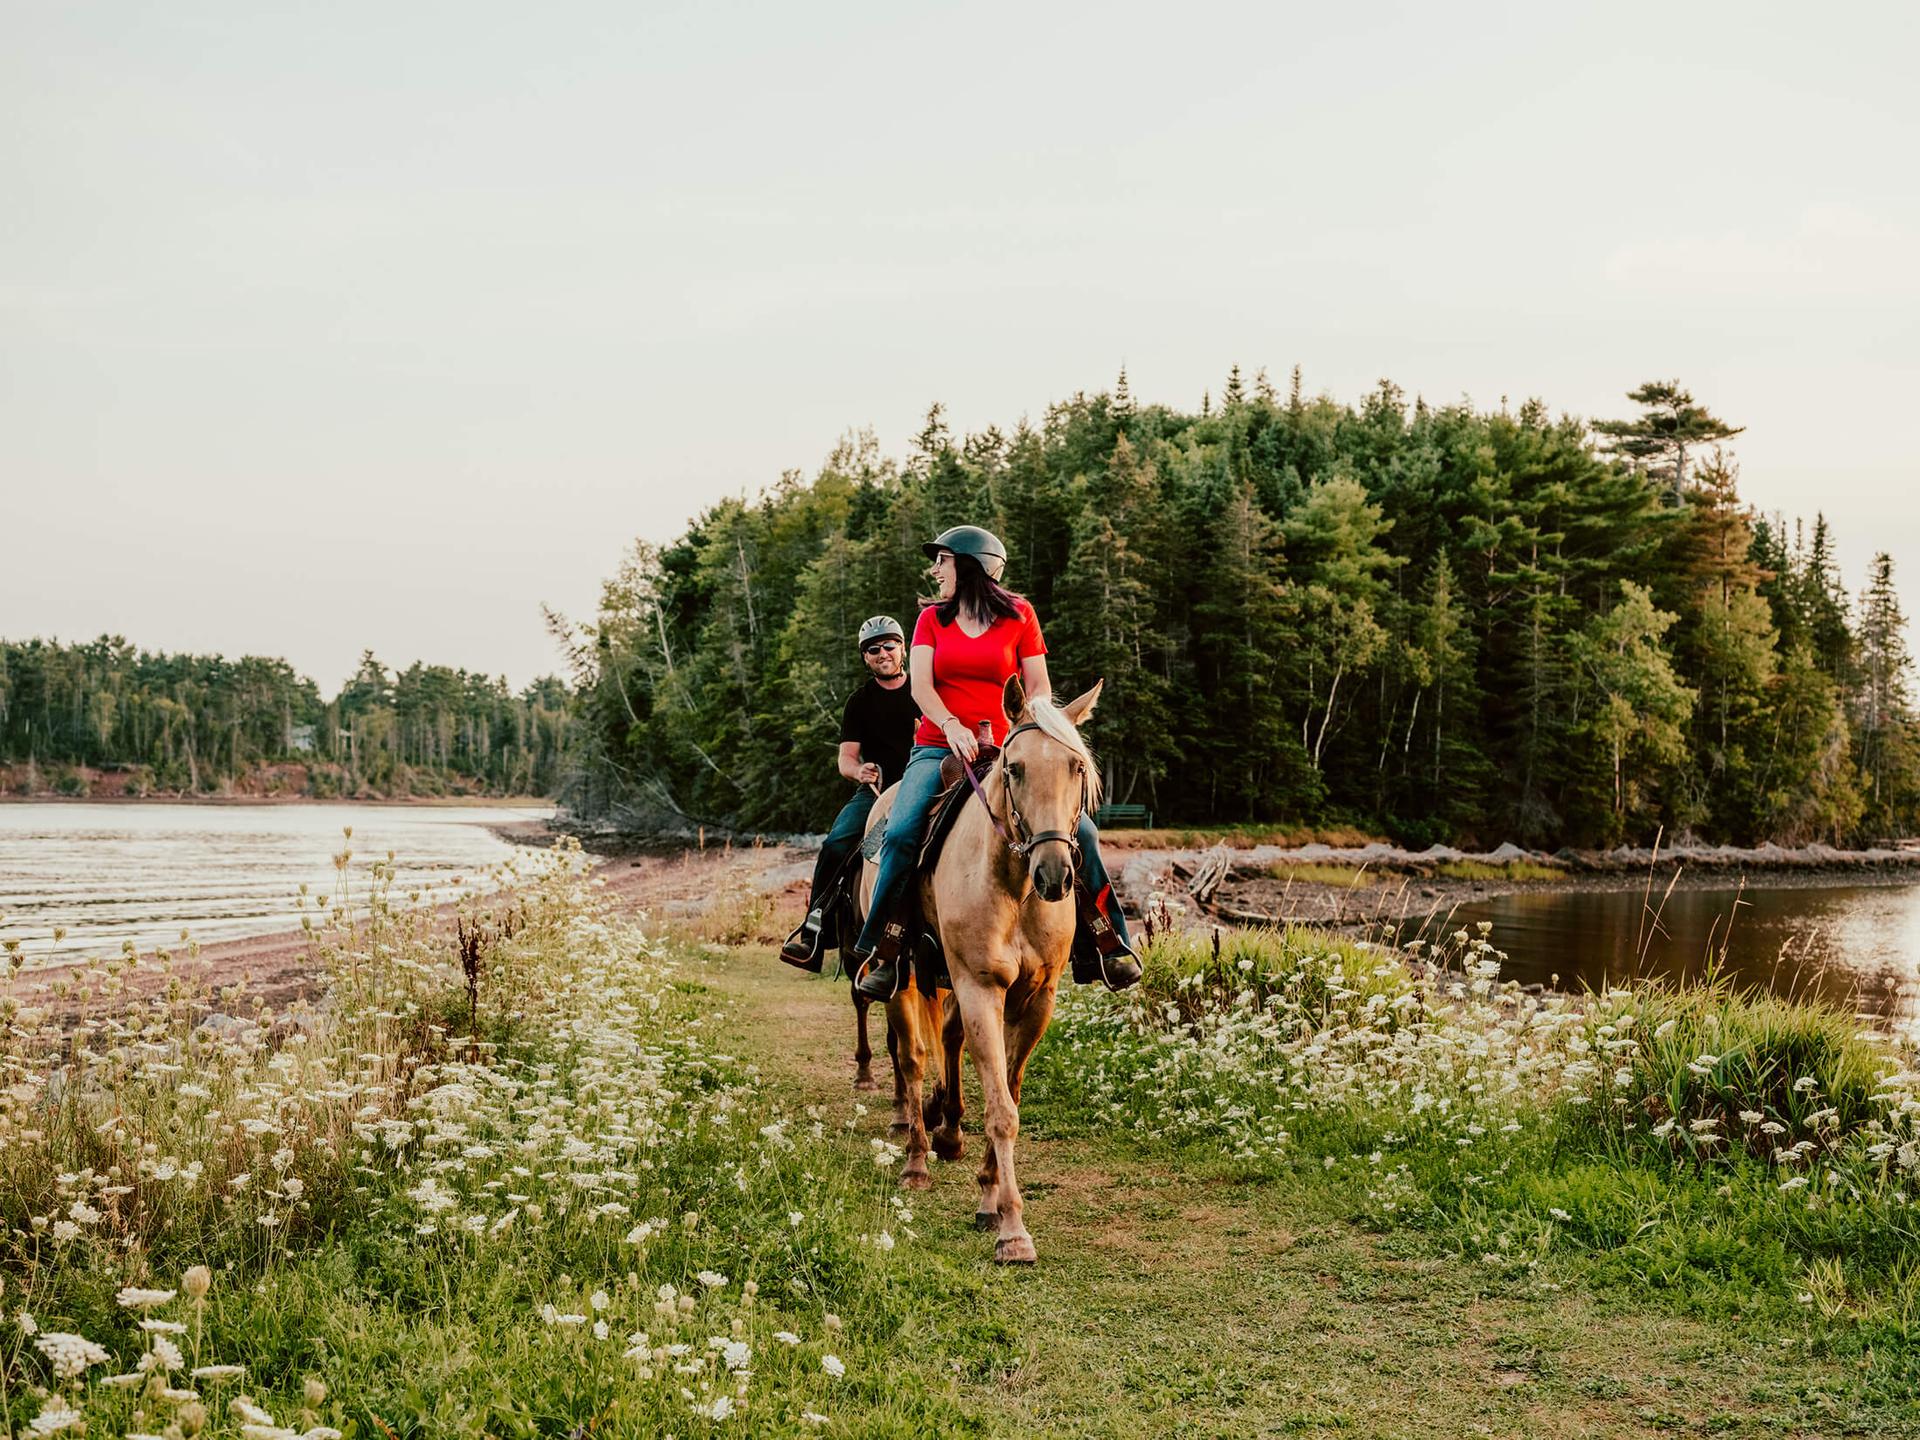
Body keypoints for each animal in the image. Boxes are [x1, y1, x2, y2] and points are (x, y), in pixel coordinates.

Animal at [852, 675, 1098, 1259]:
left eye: (1076, 767)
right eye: (1015, 768)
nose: (1054, 874)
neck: (1014, 883)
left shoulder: (1036, 999)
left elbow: (1009, 1091)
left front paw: (988, 1198)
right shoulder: (980, 987)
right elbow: (1001, 1111)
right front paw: (1013, 1229)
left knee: (943, 1042)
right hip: (904, 974)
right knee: (912, 1057)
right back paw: (917, 1160)